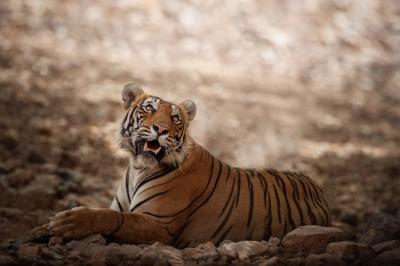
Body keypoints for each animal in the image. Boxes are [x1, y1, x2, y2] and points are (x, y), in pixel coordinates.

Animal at [48, 82, 332, 247]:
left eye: (175, 118)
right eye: (148, 109)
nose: (161, 129)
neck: (139, 168)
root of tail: (319, 189)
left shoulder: (159, 225)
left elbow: (111, 217)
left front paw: (69, 221)